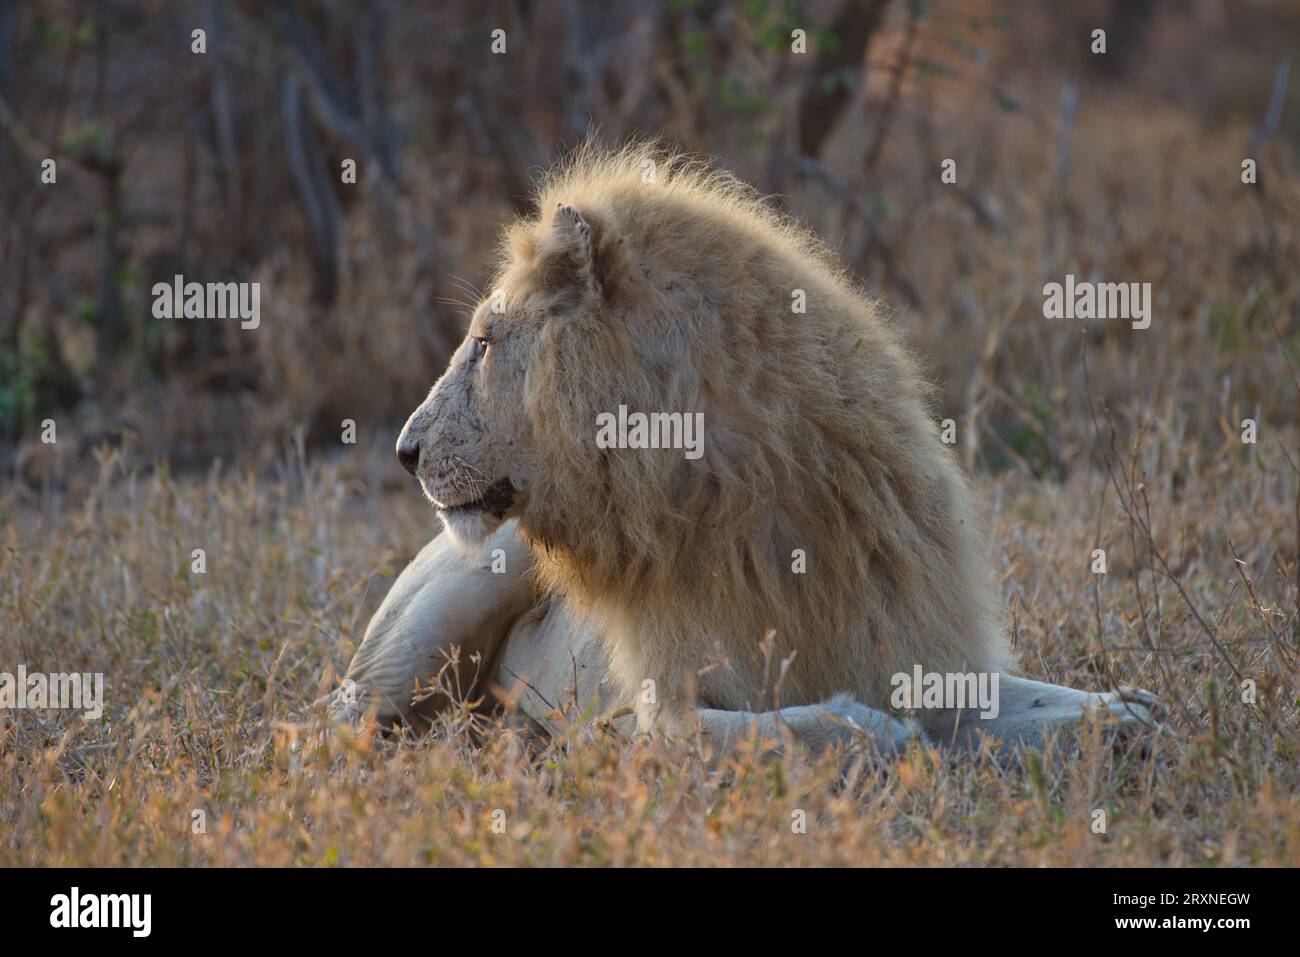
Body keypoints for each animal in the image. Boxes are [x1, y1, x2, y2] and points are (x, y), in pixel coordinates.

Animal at [322, 141, 1159, 754]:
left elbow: (1038, 700)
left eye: (485, 344)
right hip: (447, 603)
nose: (404, 450)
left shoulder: (915, 647)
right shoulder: (652, 719)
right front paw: (887, 734)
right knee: (339, 720)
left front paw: (1122, 712)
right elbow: (805, 724)